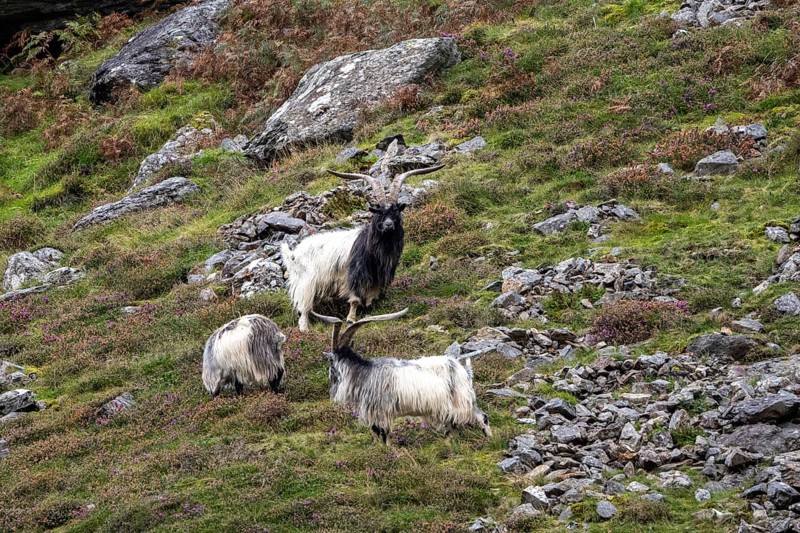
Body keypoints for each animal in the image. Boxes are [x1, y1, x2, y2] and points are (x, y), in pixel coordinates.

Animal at [282, 141, 443, 331]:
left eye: (396, 211)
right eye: (379, 212)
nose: (389, 225)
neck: (377, 247)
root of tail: (293, 253)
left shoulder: (377, 278)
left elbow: (370, 299)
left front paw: (369, 315)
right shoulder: (356, 275)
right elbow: (355, 299)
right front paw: (351, 319)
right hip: (306, 283)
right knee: (303, 308)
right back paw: (305, 329)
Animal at [311, 308, 492, 444]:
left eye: (330, 361)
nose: (330, 378)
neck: (364, 373)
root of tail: (464, 371)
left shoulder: (381, 412)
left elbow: (384, 435)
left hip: (461, 400)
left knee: (481, 417)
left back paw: (490, 439)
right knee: (452, 425)